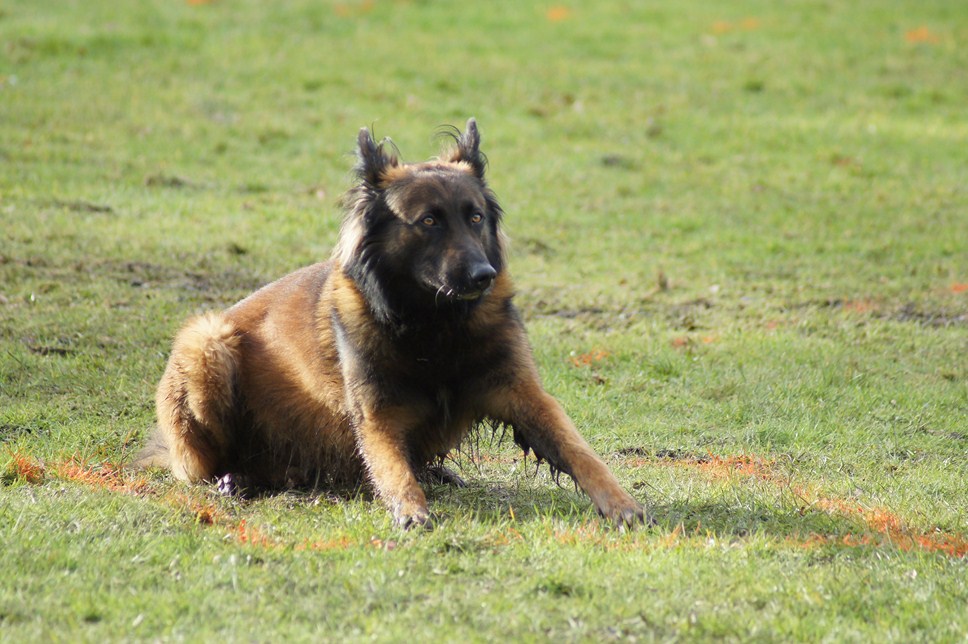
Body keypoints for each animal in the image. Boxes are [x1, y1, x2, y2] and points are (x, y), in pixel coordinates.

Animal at [136, 119, 648, 528]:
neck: (435, 327)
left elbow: (579, 450)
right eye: (429, 222)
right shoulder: (376, 412)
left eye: (475, 217)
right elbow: (390, 467)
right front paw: (411, 508)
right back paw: (237, 478)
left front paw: (621, 503)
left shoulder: (525, 393)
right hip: (207, 341)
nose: (483, 275)